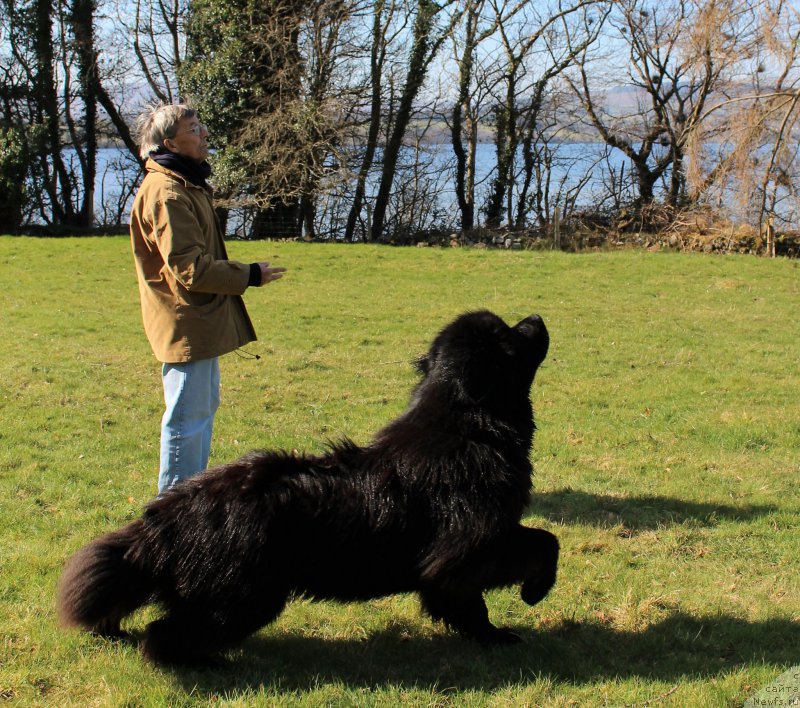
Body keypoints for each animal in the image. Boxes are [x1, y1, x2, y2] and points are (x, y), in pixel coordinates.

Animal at [57, 310, 556, 664]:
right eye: (507, 334)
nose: (536, 316)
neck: (470, 427)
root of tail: (172, 512)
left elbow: (529, 550)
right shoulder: (465, 547)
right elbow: (539, 547)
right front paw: (519, 611)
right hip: (243, 596)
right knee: (164, 634)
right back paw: (209, 664)